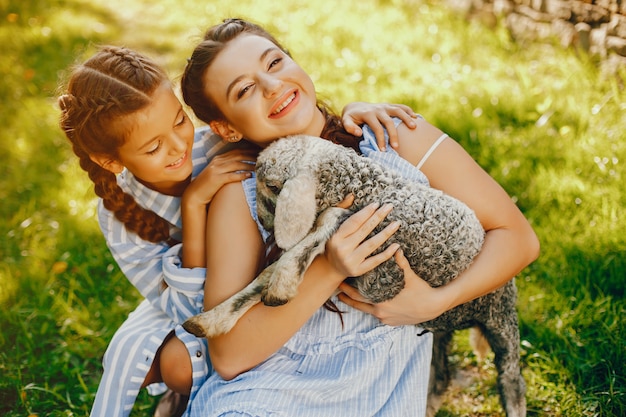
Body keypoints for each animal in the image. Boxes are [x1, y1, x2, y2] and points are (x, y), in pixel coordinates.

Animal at [183, 135, 524, 414]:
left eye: (272, 185)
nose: (266, 223)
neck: (358, 185)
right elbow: (259, 281)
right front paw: (208, 322)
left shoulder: (359, 227)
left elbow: (307, 244)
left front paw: (281, 287)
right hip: (441, 329)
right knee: (440, 376)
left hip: (502, 319)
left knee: (512, 383)